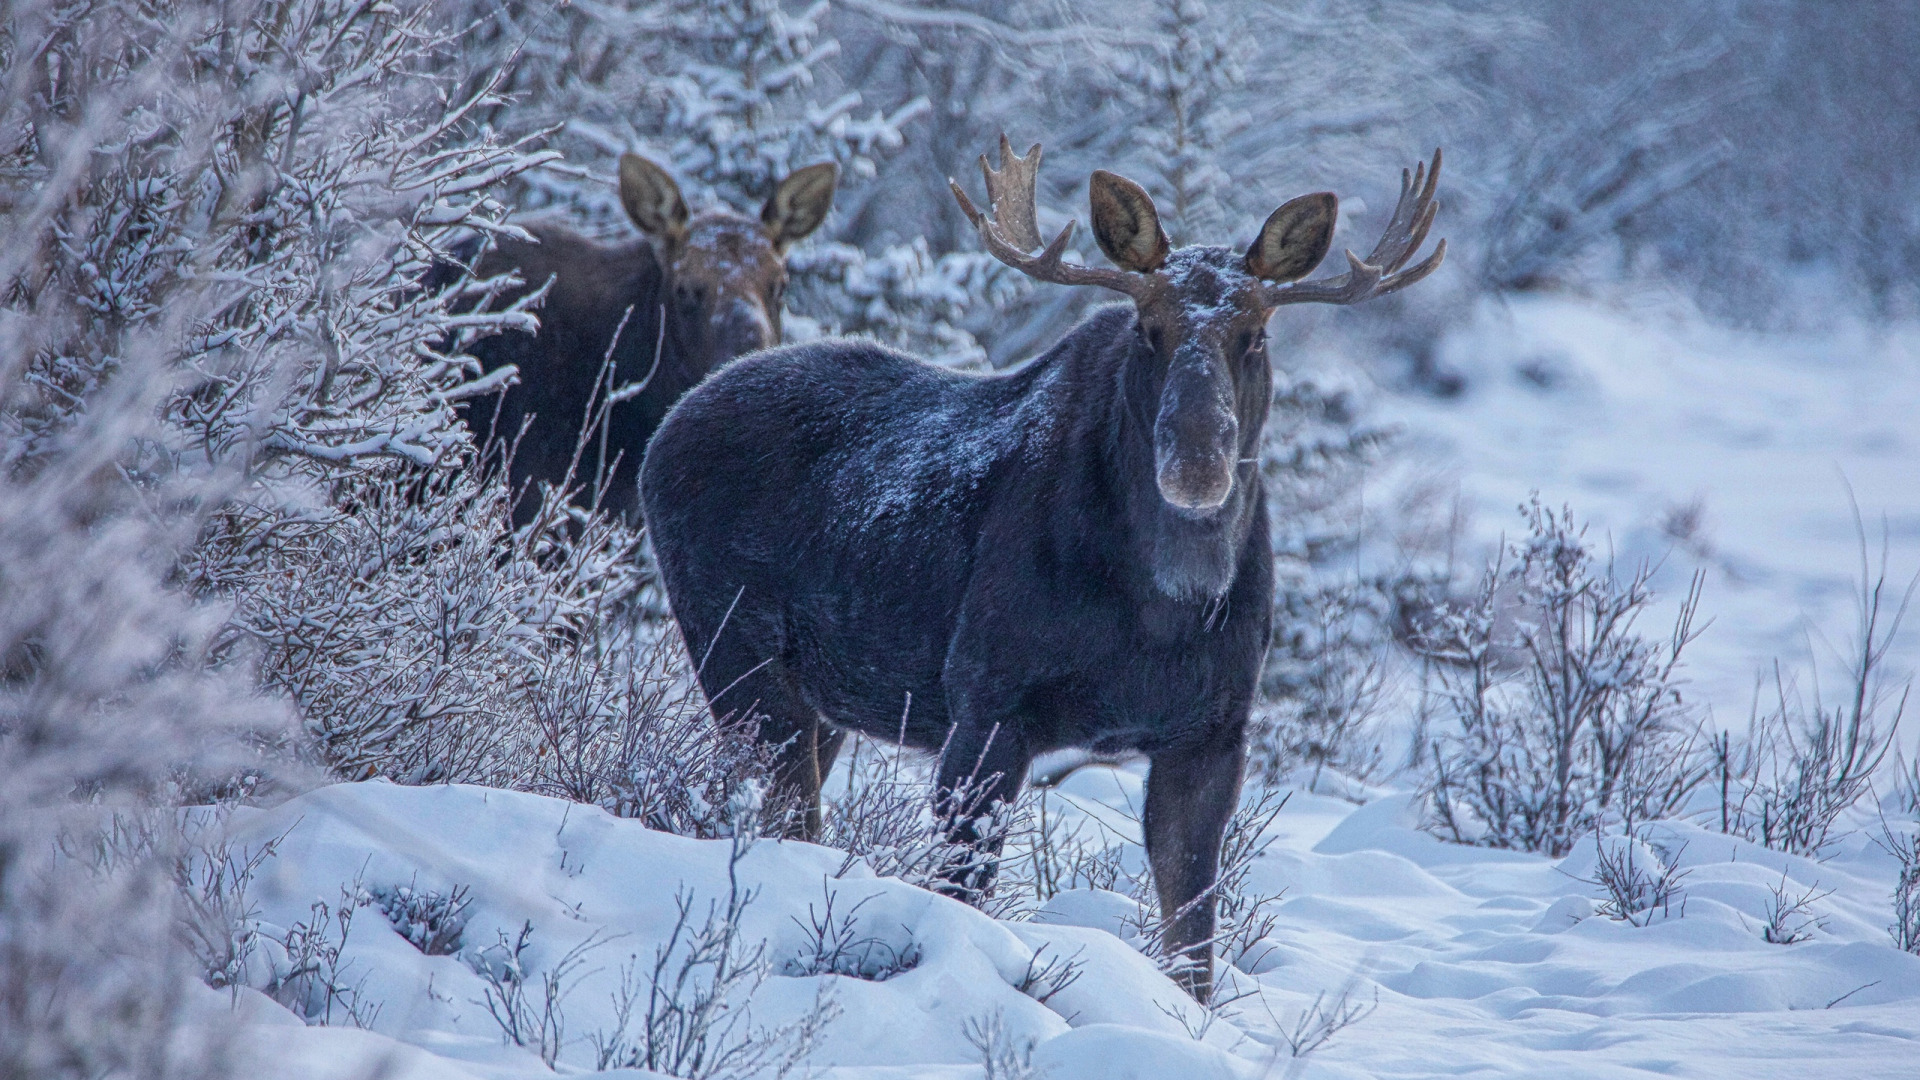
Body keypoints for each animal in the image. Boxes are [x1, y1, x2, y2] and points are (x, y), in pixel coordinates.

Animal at [641, 136, 1443, 999]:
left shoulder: (1214, 732)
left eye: (1256, 334)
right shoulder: (986, 700)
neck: (1163, 608)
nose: (1197, 462)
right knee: (778, 808)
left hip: (820, 701)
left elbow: (1192, 934)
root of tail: (664, 431)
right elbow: (960, 887)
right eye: (1149, 329)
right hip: (735, 653)